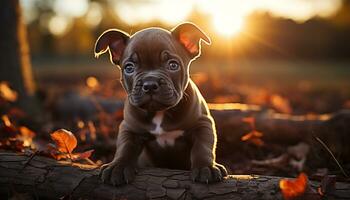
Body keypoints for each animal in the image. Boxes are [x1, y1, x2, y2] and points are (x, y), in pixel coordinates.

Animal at [94, 22, 228, 185]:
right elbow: (125, 147)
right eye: (129, 68)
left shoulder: (202, 124)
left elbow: (202, 147)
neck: (160, 112)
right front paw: (117, 166)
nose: (150, 84)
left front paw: (206, 167)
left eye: (173, 65)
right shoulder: (130, 128)